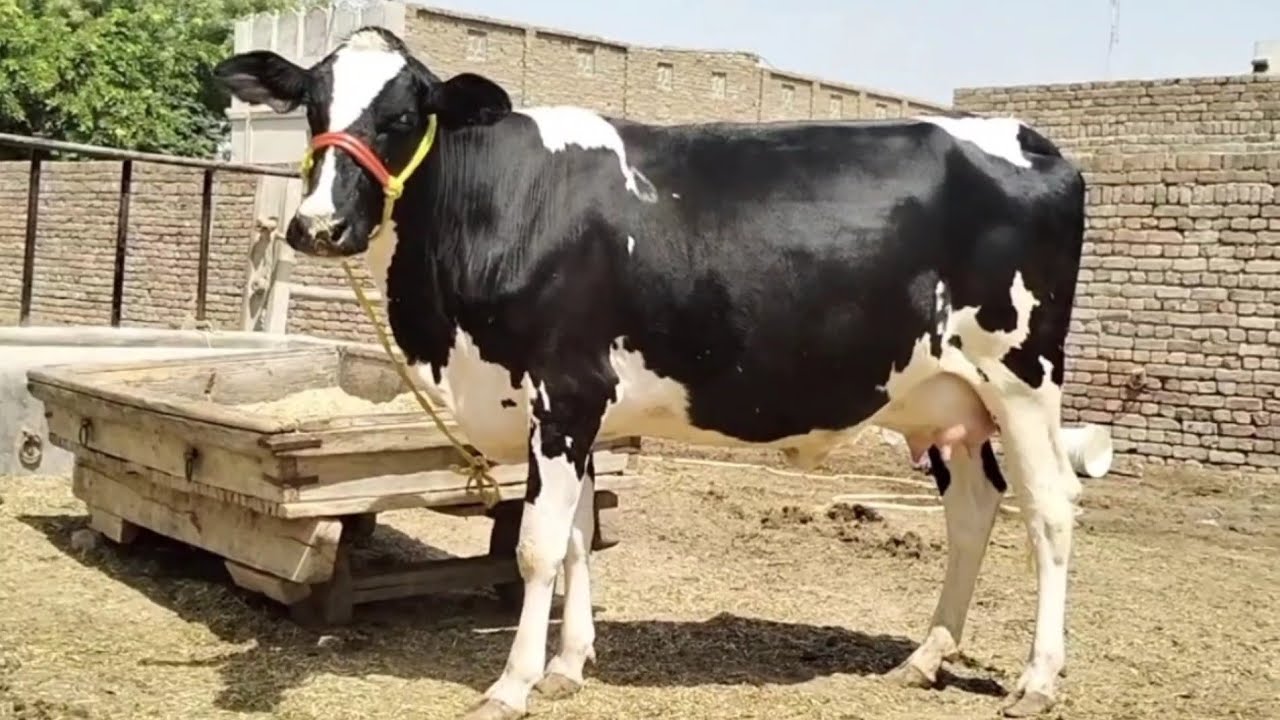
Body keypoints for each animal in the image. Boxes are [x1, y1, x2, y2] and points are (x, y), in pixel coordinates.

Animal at [214, 26, 1086, 720]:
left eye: (403, 114)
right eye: (314, 106)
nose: (319, 226)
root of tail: (1029, 138)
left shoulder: (564, 391)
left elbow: (537, 546)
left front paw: (512, 685)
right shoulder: (573, 409)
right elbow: (575, 538)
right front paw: (567, 666)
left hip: (1022, 376)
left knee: (1050, 510)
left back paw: (1038, 681)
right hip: (948, 399)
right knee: (973, 510)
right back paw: (925, 658)